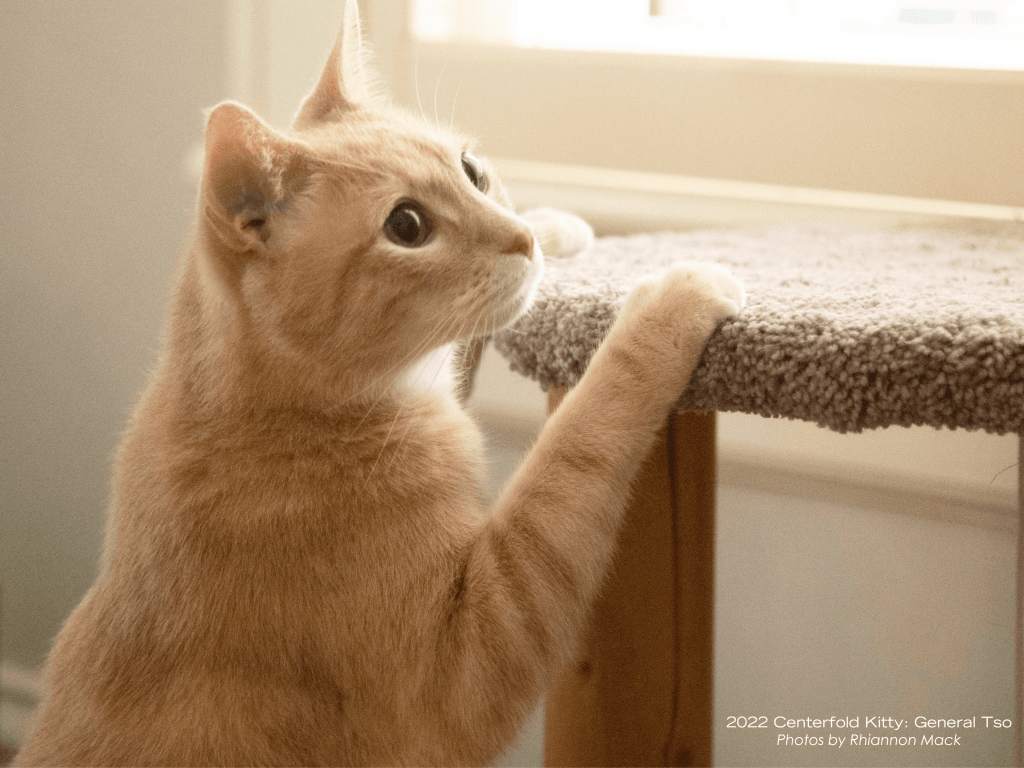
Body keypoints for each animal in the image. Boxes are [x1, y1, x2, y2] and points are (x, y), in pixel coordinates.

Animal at [14, 3, 745, 765]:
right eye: (407, 226)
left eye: (472, 171)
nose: (518, 238)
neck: (286, 417)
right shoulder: (467, 667)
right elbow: (577, 443)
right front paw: (669, 300)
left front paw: (552, 225)